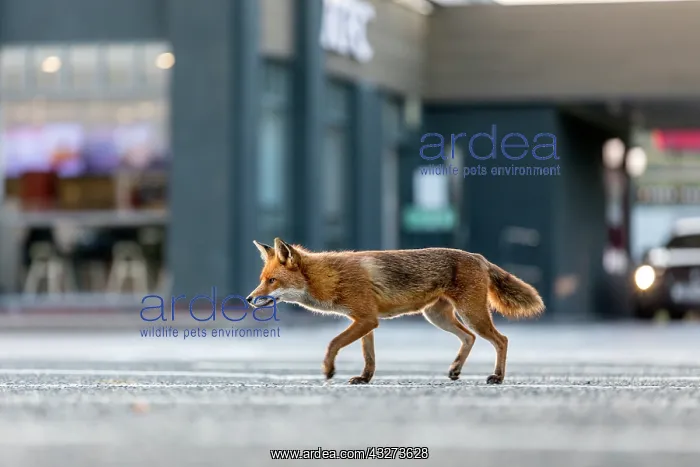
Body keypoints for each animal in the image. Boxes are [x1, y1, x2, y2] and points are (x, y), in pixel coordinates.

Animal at [246, 238, 544, 385]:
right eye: (262, 279)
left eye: (272, 281)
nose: (249, 299)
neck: (329, 276)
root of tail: (479, 256)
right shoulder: (365, 320)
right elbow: (369, 356)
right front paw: (364, 379)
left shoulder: (365, 318)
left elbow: (333, 343)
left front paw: (329, 370)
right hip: (438, 317)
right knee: (469, 338)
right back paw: (455, 370)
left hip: (472, 315)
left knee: (501, 340)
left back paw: (498, 377)